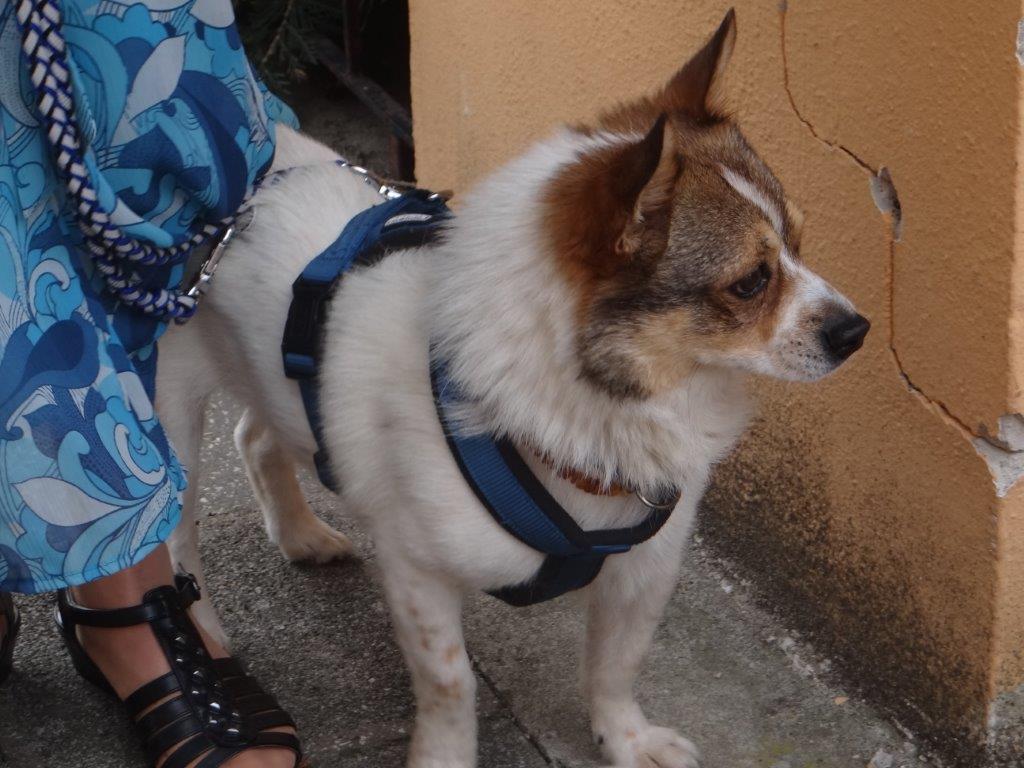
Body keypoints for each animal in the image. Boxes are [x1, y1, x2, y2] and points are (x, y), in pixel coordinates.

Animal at [156, 10, 869, 767]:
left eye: (799, 242)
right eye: (751, 282)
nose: (857, 330)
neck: (596, 415)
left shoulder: (646, 566)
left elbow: (618, 662)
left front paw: (626, 738)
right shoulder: (417, 573)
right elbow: (452, 683)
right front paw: (444, 755)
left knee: (256, 433)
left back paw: (300, 534)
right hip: (168, 420)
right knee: (174, 538)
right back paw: (205, 636)